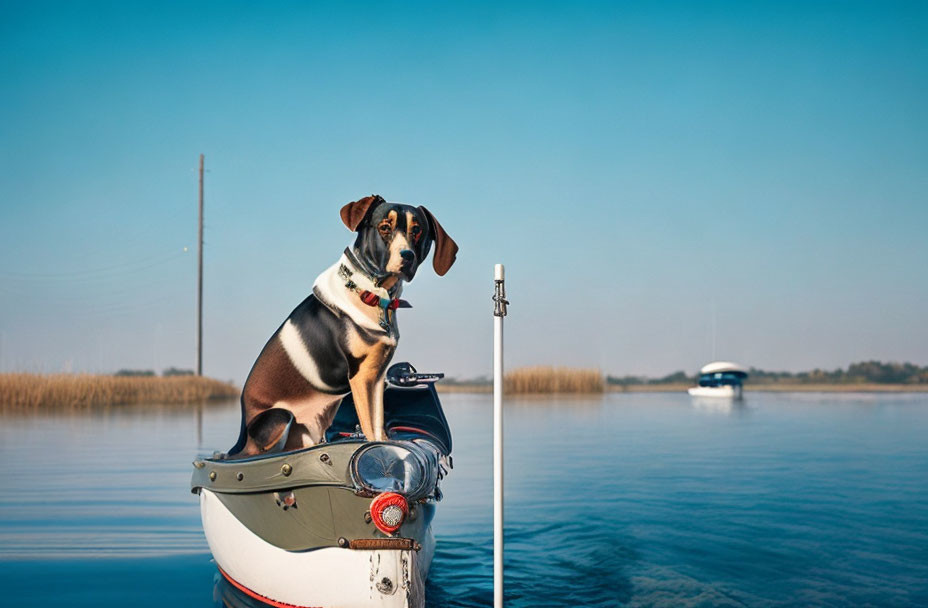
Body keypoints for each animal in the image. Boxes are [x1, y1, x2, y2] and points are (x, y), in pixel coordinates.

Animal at [232, 195, 456, 456]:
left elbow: (377, 422)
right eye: (384, 227)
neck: (372, 295)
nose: (407, 255)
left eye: (418, 230)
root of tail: (242, 434)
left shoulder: (376, 375)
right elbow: (368, 424)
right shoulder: (359, 375)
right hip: (279, 417)